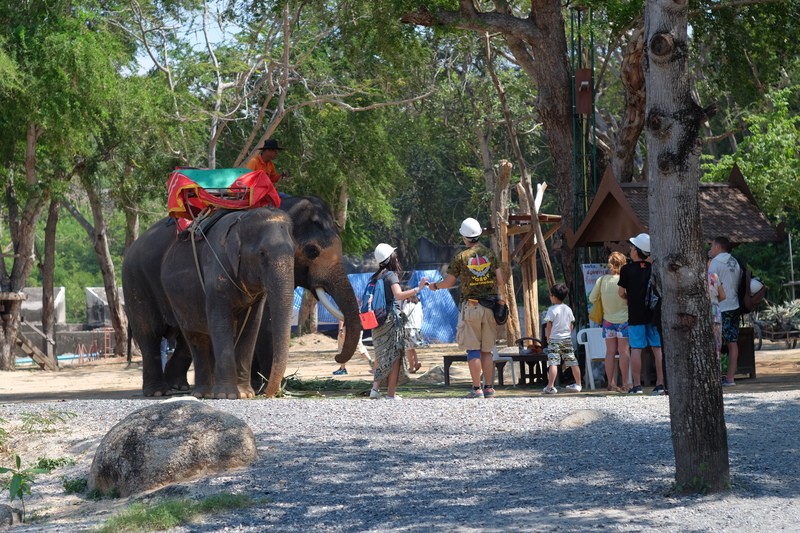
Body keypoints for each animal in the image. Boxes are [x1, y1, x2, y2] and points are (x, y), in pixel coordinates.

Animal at [123, 206, 298, 396]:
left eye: (294, 253)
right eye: (262, 254)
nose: (269, 393)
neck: (241, 219)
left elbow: (251, 327)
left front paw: (245, 394)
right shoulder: (216, 271)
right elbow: (220, 324)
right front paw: (227, 395)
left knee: (190, 337)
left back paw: (186, 388)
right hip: (136, 282)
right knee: (151, 335)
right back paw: (160, 392)